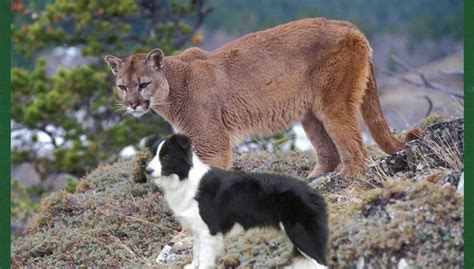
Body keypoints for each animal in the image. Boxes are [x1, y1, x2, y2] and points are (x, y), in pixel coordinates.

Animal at [146, 134, 328, 268]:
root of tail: (313, 193)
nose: (147, 171)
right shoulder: (197, 228)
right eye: (153, 155)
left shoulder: (208, 231)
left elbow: (204, 258)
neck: (186, 178)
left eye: (166, 156)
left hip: (301, 234)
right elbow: (196, 251)